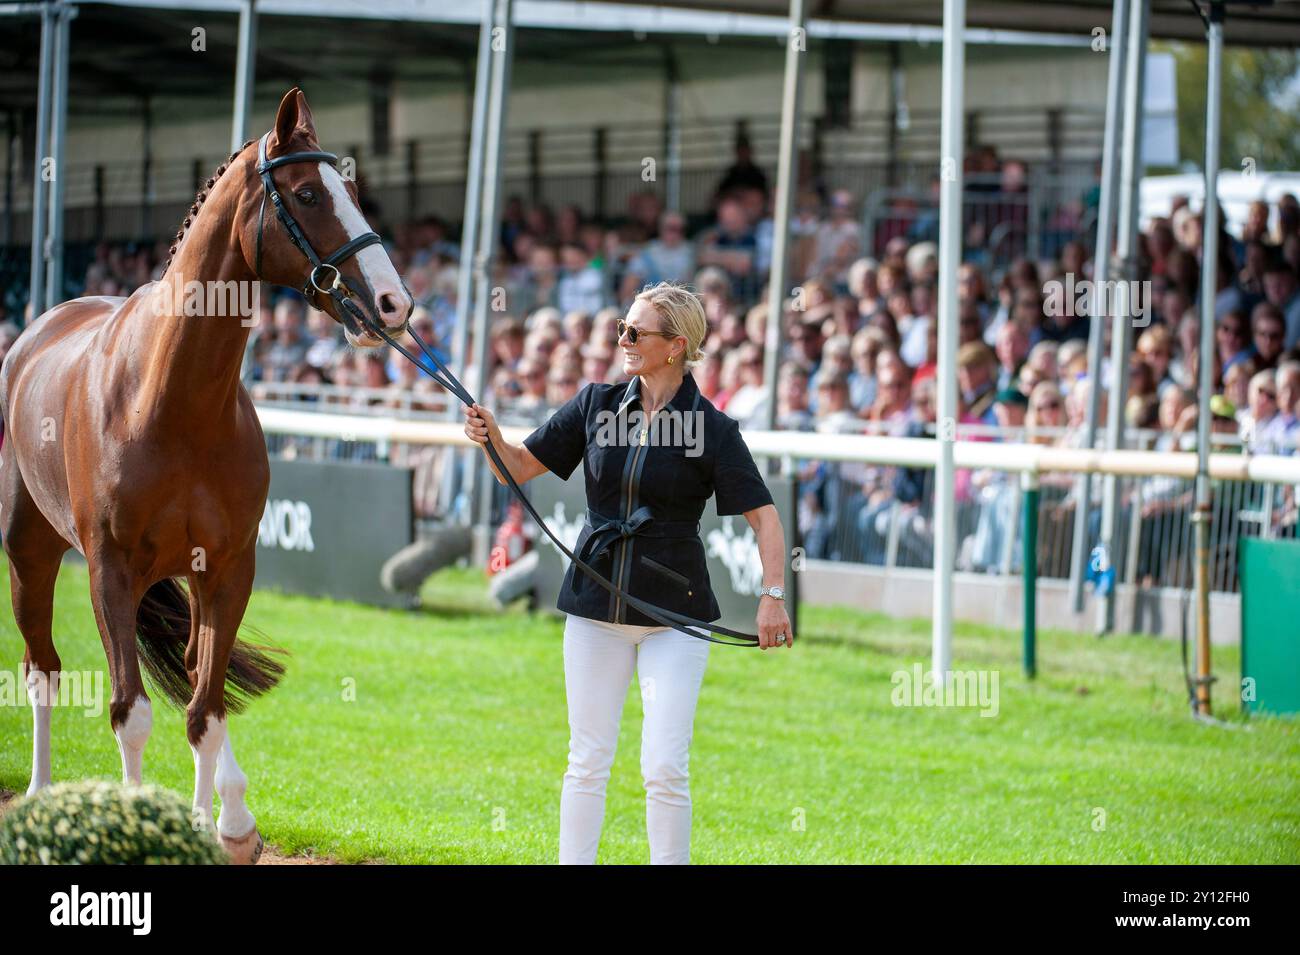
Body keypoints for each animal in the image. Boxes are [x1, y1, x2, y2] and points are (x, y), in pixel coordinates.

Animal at [1, 89, 410, 862]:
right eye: (308, 194)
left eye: (353, 193)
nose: (394, 304)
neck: (171, 399)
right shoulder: (110, 569)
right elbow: (130, 712)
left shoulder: (226, 567)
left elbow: (206, 711)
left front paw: (215, 824)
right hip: (31, 552)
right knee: (43, 667)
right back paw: (38, 798)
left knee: (193, 669)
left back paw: (232, 813)